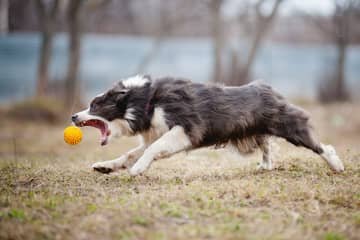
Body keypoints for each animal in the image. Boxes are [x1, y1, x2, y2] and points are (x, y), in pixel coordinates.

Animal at [71, 75, 344, 176]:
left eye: (94, 105)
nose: (73, 116)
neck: (146, 102)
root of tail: (269, 89)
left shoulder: (185, 130)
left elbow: (152, 149)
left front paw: (138, 169)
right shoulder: (156, 133)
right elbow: (130, 153)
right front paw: (105, 166)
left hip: (287, 124)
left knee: (320, 145)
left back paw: (337, 165)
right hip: (257, 129)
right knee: (266, 144)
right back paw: (265, 165)